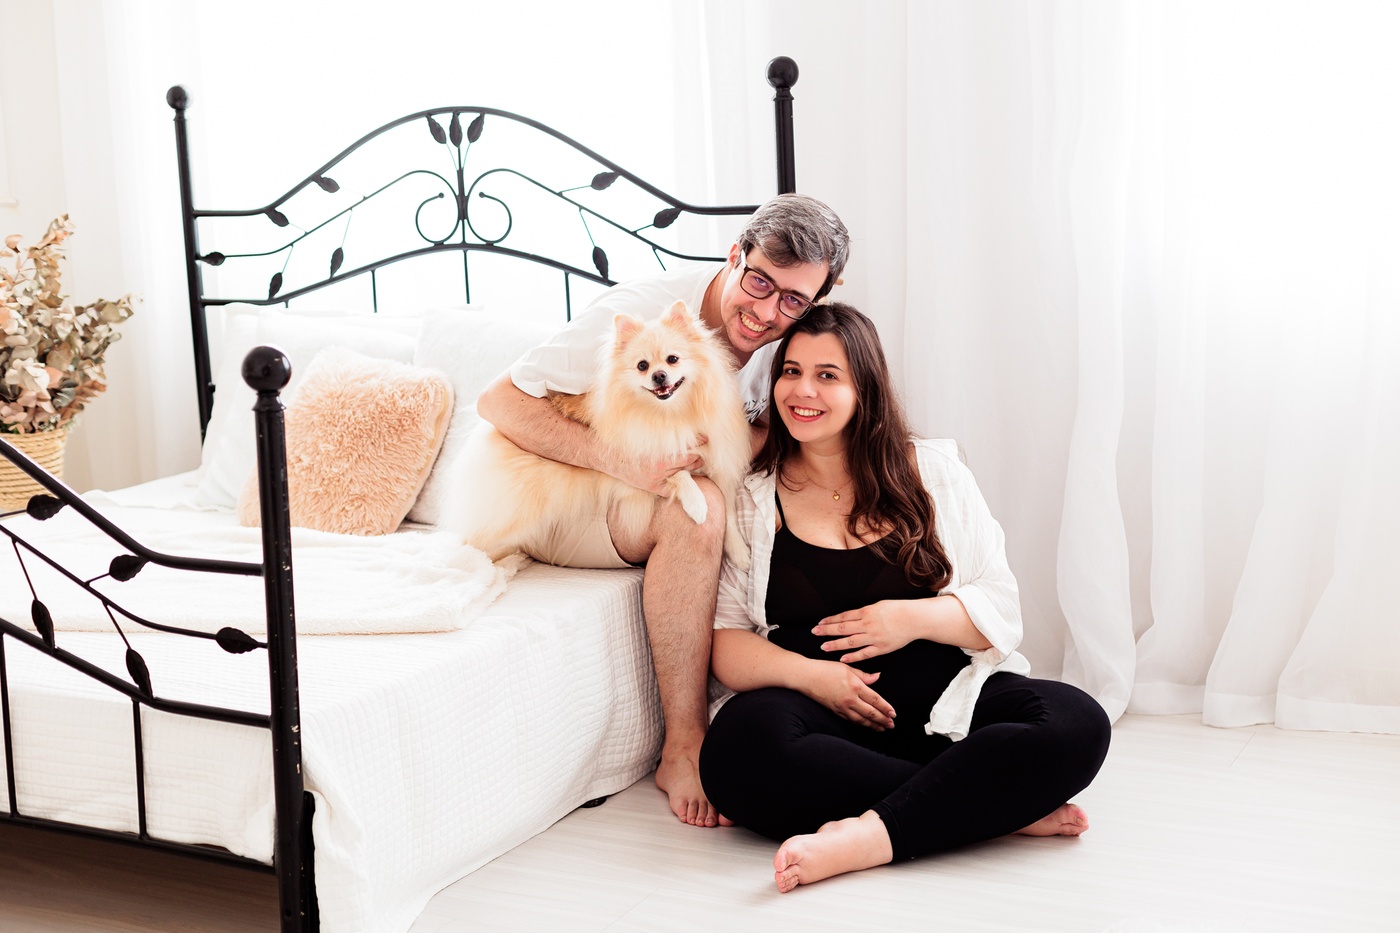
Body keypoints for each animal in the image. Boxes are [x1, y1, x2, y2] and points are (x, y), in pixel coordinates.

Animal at [444, 300, 753, 570]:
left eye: (673, 359)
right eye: (642, 365)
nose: (659, 375)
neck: (671, 413)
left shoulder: (719, 462)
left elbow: (728, 515)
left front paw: (739, 552)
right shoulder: (648, 456)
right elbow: (681, 475)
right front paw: (697, 504)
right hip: (521, 507)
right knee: (476, 543)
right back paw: (507, 562)